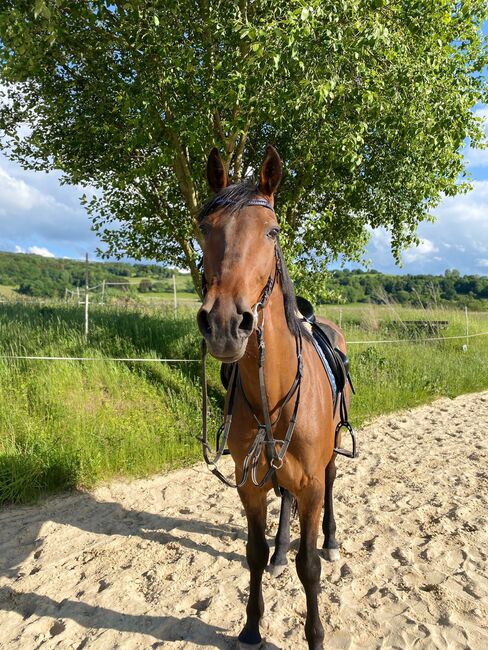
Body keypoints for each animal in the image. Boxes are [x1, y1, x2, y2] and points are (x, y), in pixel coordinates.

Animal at [196, 144, 352, 644]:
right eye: (204, 228)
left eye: (272, 230)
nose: (226, 323)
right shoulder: (250, 484)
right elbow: (254, 553)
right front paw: (250, 628)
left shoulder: (311, 484)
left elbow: (310, 568)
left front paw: (316, 636)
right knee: (282, 507)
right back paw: (283, 548)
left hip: (328, 458)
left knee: (332, 487)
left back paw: (332, 541)